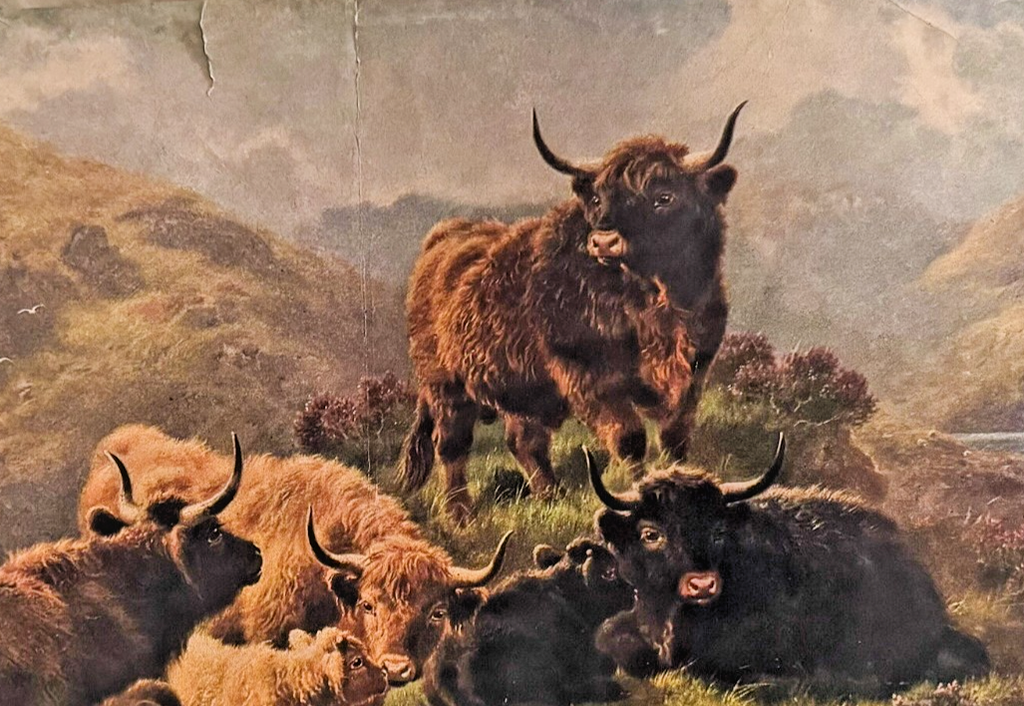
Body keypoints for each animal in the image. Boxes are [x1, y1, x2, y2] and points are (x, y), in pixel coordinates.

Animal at [401, 104, 746, 520]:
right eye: (598, 200)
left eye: (664, 197)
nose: (604, 241)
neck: (656, 305)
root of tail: (445, 235)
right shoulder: (591, 380)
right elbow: (629, 438)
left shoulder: (693, 373)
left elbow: (675, 437)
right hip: (446, 386)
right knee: (451, 444)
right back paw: (459, 514)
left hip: (523, 387)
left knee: (524, 442)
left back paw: (551, 496)